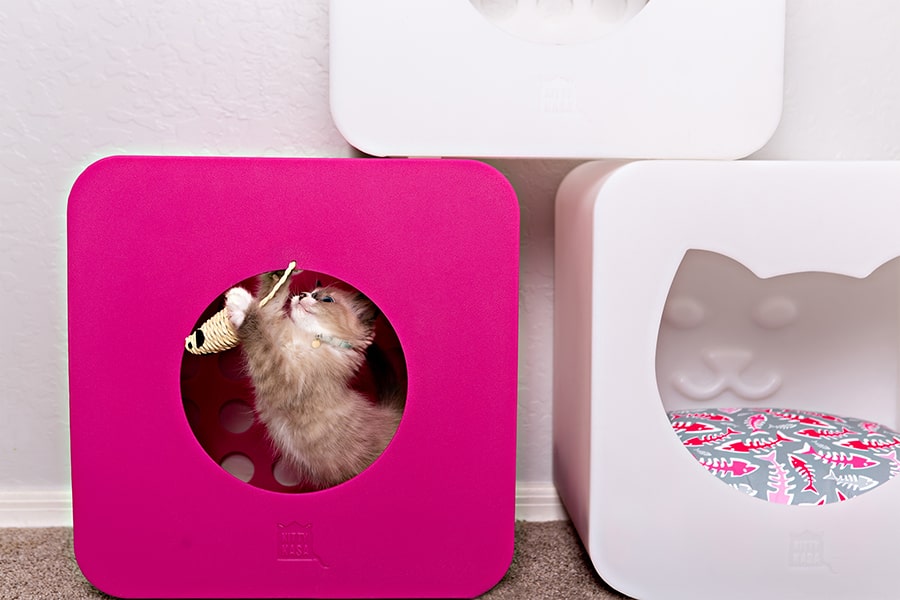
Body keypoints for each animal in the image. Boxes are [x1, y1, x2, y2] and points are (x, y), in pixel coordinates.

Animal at [225, 274, 404, 490]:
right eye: (310, 293)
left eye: (326, 299)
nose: (302, 295)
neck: (307, 338)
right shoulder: (274, 331)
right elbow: (271, 302)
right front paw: (279, 276)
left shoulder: (282, 379)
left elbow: (260, 334)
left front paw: (241, 304)